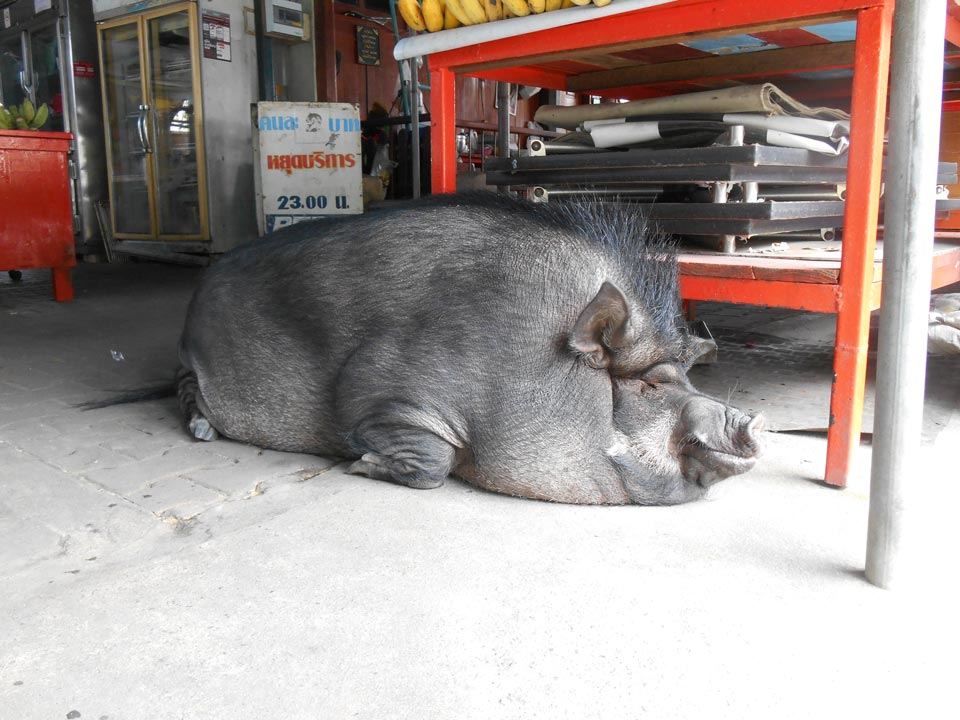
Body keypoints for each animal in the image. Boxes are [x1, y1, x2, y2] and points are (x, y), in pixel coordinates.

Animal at [176, 194, 760, 504]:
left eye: (688, 377)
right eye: (650, 384)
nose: (749, 420)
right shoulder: (379, 390)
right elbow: (435, 461)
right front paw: (361, 465)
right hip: (190, 362)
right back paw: (202, 431)